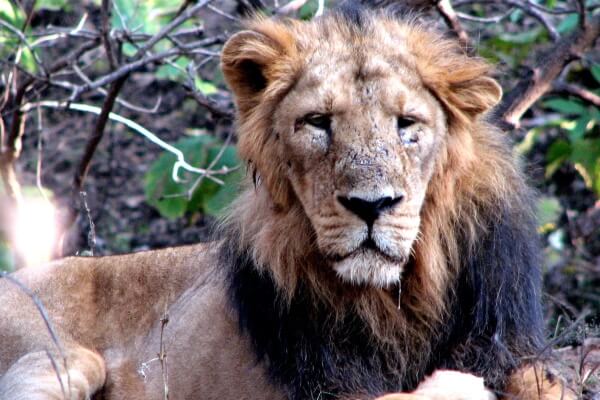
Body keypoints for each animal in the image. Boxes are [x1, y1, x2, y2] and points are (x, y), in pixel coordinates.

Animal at [1, 6, 572, 400]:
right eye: (317, 123)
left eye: (407, 124)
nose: (372, 205)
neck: (396, 301)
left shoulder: (507, 346)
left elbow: (545, 381)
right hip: (65, 356)